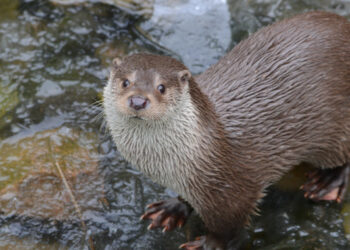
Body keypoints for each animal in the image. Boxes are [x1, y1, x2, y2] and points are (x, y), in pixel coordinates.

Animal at [102, 11, 350, 250]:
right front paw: (172, 209)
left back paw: (328, 182)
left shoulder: (232, 193)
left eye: (161, 87)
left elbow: (228, 229)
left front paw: (208, 244)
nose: (138, 100)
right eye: (125, 82)